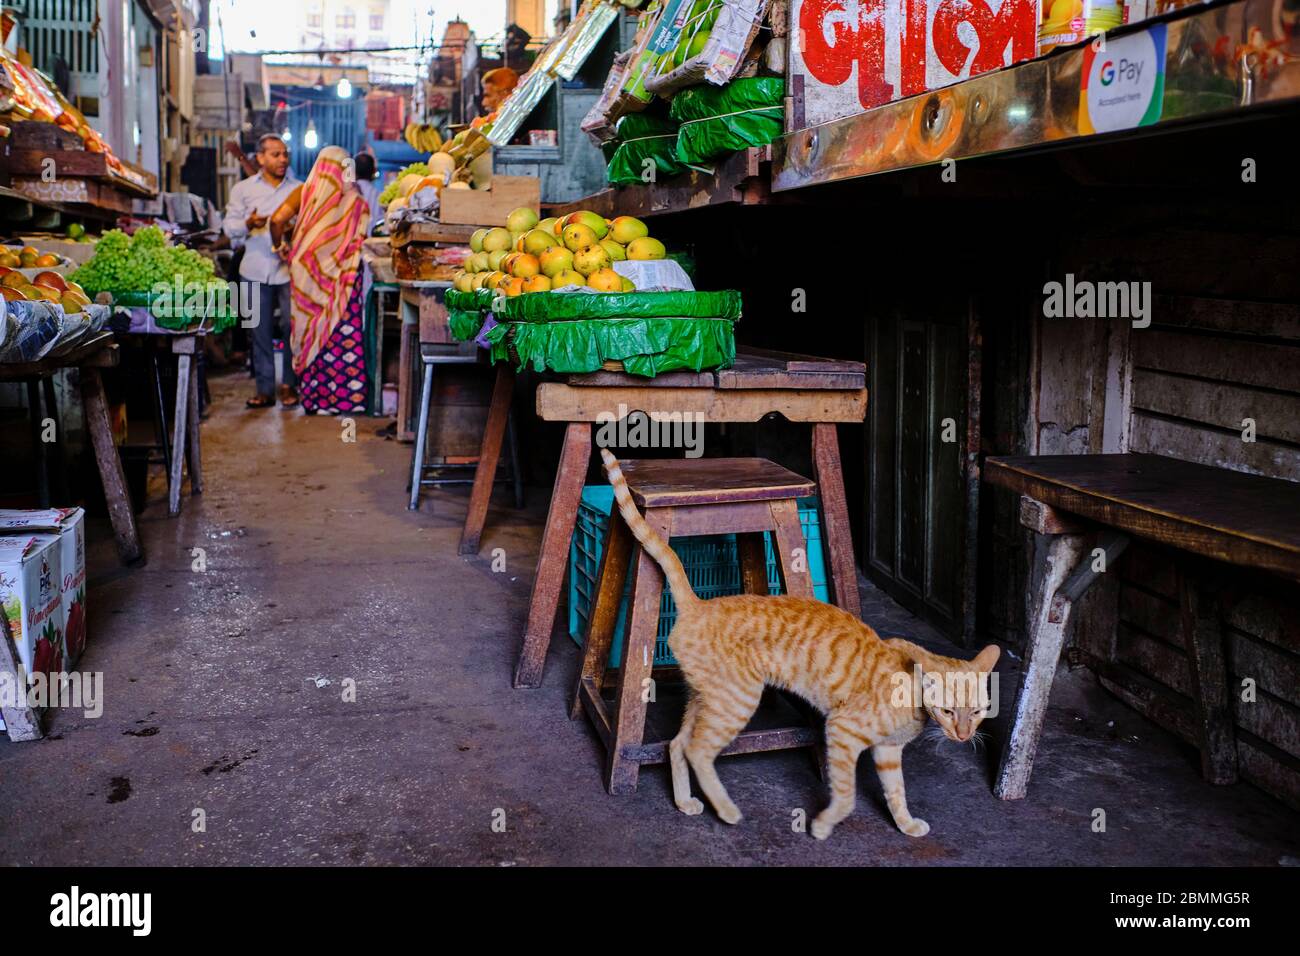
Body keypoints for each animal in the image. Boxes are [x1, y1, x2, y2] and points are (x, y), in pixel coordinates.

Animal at [603, 447, 998, 837]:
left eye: (978, 712)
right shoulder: (841, 731)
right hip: (736, 701)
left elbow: (896, 792)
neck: (912, 694)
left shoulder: (887, 752)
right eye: (949, 711)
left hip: (708, 699)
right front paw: (824, 825)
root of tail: (698, 605)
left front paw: (905, 824)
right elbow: (846, 794)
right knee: (698, 751)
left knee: (677, 744)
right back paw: (727, 810)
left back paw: (685, 801)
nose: (963, 736)